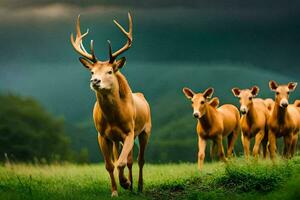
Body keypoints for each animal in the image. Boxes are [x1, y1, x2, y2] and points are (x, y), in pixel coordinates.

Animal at [70, 12, 152, 197]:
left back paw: (139, 187)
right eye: (92, 72)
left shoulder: (129, 131)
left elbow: (121, 162)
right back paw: (131, 186)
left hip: (145, 130)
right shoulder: (102, 134)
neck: (114, 118)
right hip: (116, 140)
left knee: (139, 160)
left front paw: (126, 183)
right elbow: (110, 165)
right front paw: (115, 190)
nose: (95, 81)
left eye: (109, 71)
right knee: (127, 160)